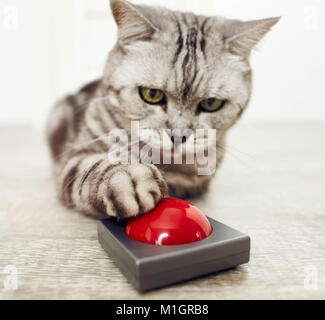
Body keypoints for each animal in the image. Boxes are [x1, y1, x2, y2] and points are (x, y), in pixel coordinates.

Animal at [45, 0, 278, 220]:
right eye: (151, 94)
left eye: (211, 103)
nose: (178, 137)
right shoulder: (76, 156)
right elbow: (97, 165)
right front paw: (127, 177)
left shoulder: (194, 178)